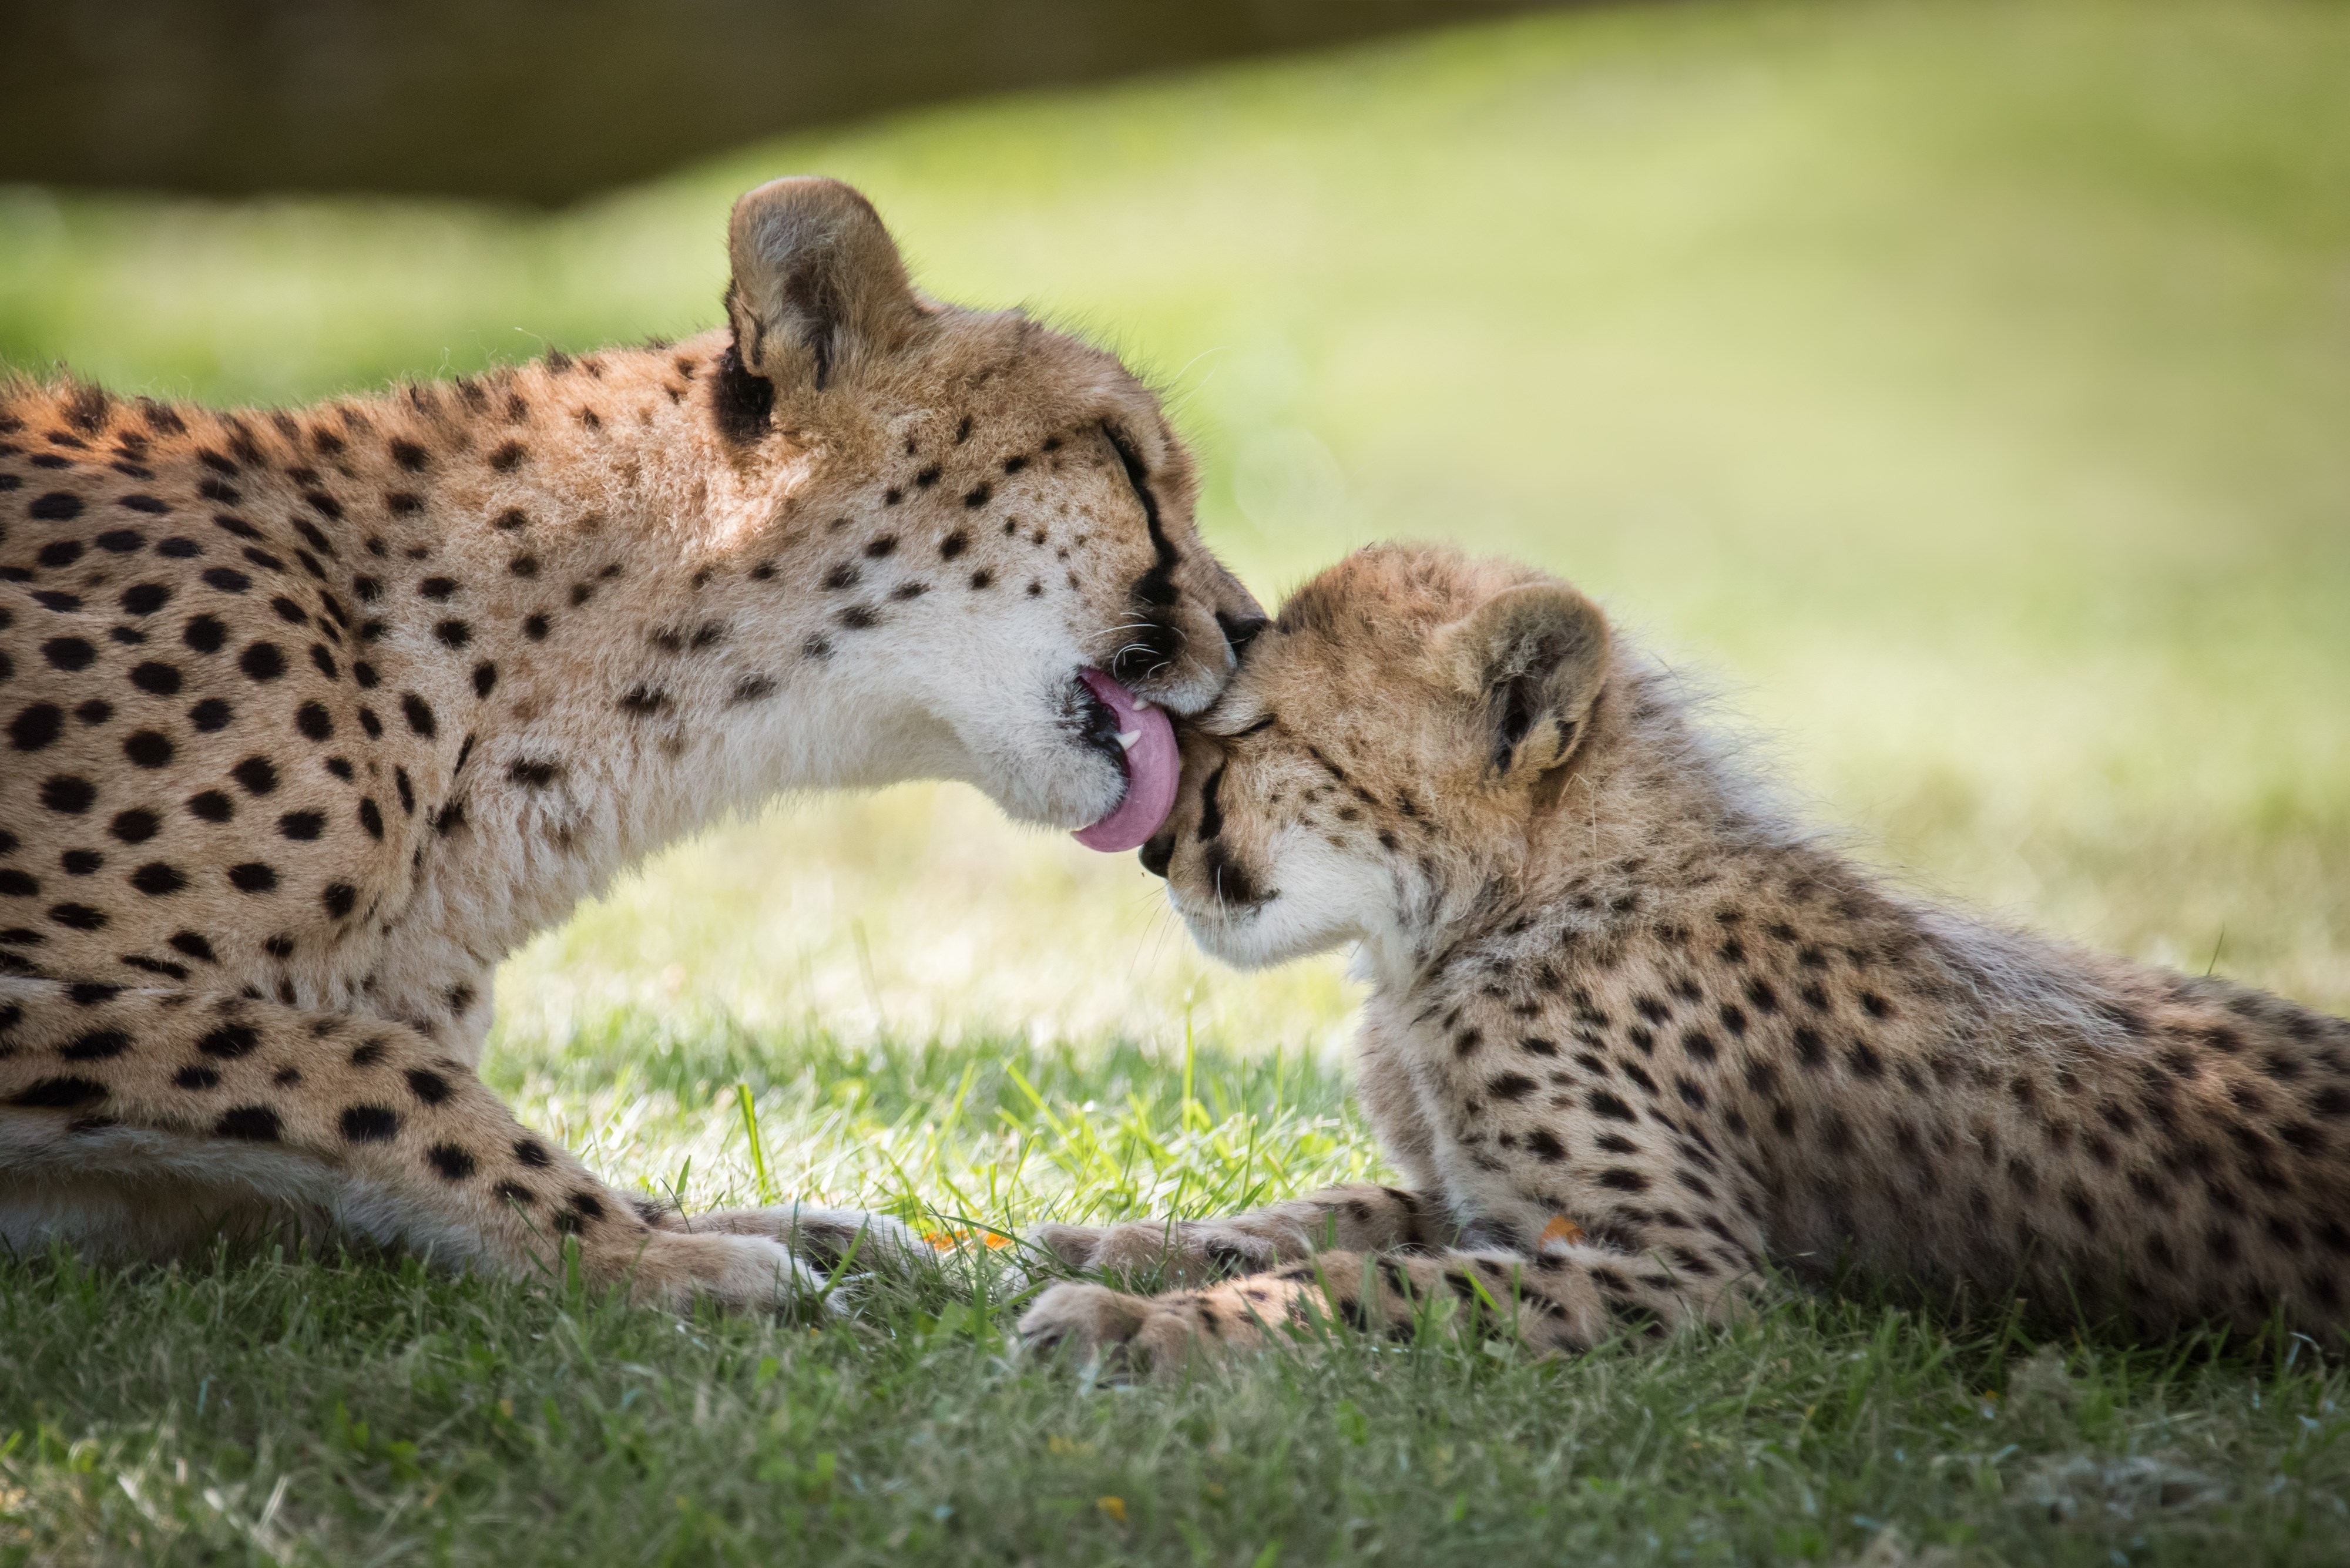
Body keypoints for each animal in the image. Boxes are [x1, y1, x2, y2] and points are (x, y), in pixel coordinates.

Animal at [1020, 542, 2350, 1371]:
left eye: (1253, 731)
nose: (1155, 853)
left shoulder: (1700, 1275)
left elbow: (1378, 1279)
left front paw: (1139, 1323)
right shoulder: (1484, 1193)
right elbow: (1349, 1207)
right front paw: (1133, 1240)